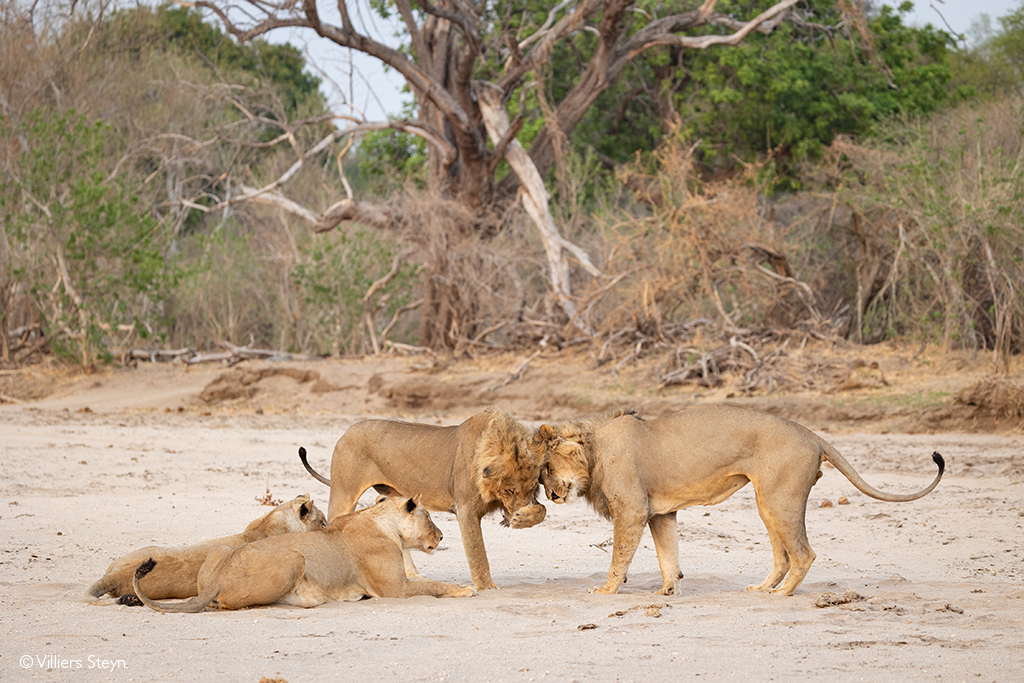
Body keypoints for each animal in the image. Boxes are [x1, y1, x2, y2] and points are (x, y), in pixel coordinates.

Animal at [131, 493, 475, 610]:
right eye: (429, 516)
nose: (442, 535)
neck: (383, 521)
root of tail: (217, 579)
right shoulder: (396, 589)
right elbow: (436, 585)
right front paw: (465, 589)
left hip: (223, 549)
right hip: (295, 556)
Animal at [299, 409, 548, 589]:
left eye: (532, 488)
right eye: (509, 491)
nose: (516, 513)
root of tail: (345, 432)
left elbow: (542, 510)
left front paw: (522, 518)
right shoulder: (466, 509)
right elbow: (478, 553)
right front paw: (487, 587)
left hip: (394, 495)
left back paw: (414, 575)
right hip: (344, 491)